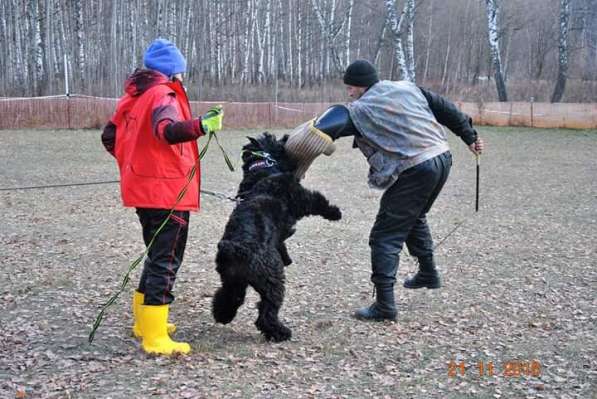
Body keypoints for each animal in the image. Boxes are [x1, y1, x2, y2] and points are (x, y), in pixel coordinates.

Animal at [211, 133, 340, 342]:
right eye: (273, 138)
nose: (286, 137)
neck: (263, 170)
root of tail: (237, 249)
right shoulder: (301, 197)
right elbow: (318, 201)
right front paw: (335, 213)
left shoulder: (278, 237)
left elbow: (282, 244)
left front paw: (287, 258)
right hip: (272, 282)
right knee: (266, 312)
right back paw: (280, 332)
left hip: (232, 280)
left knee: (230, 297)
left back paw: (222, 315)